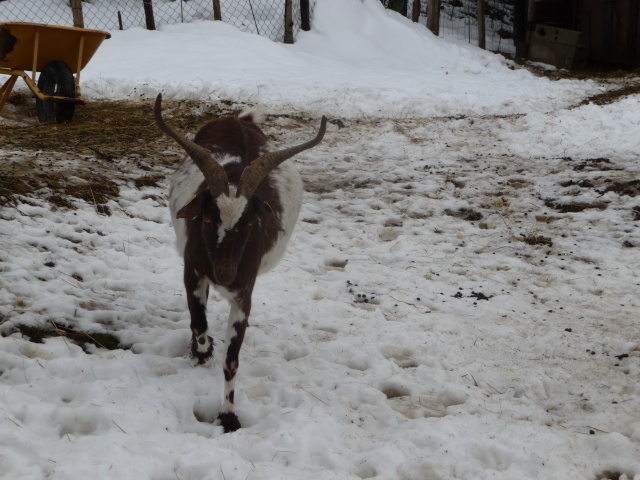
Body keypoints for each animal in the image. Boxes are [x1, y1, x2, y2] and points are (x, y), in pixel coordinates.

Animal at [153, 94, 328, 432]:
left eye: (249, 224)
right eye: (208, 217)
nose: (224, 272)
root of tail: (241, 120)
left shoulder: (244, 294)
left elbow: (231, 360)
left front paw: (229, 416)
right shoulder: (192, 271)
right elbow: (199, 325)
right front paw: (202, 351)